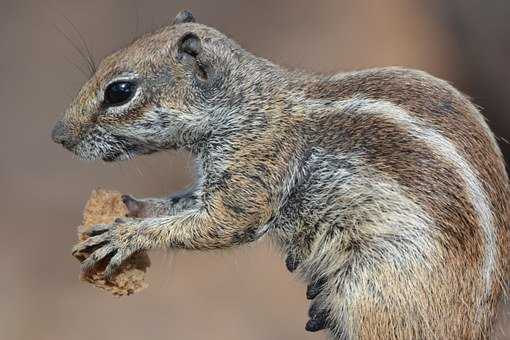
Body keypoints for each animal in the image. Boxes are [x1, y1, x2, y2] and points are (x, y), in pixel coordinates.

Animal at [52, 10, 510, 340]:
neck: (244, 103)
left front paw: (127, 236)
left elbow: (222, 223)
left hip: (374, 292)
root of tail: (474, 325)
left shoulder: (255, 168)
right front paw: (135, 207)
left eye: (119, 91)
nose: (59, 135)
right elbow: (185, 203)